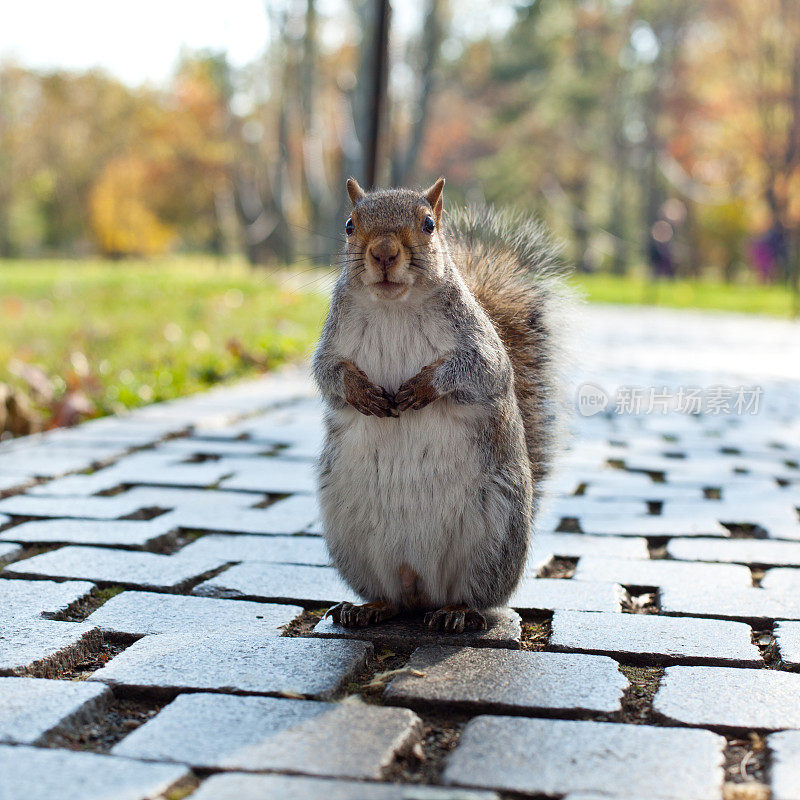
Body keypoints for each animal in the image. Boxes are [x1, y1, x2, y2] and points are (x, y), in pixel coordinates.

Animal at [312, 178, 568, 636]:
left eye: (429, 224)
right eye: (349, 225)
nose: (383, 253)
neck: (394, 306)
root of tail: (420, 585)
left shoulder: (481, 347)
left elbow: (483, 371)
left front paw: (423, 387)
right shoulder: (331, 343)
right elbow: (328, 375)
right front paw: (360, 391)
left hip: (492, 535)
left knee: (473, 594)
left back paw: (457, 613)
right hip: (351, 539)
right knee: (392, 597)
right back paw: (368, 607)